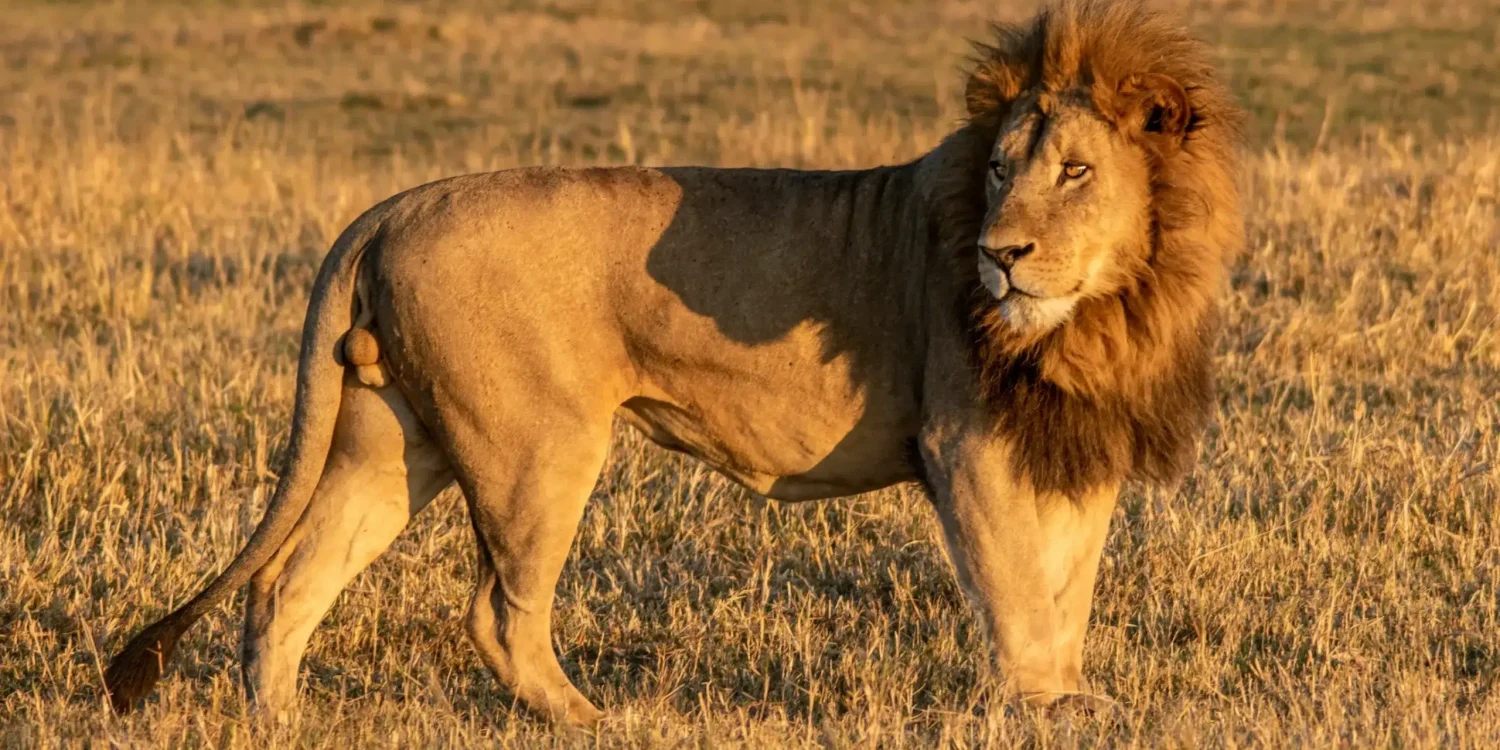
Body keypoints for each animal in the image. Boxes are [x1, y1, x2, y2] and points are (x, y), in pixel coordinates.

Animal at [105, 0, 1241, 725]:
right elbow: (1014, 588)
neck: (1113, 306)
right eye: (1001, 170)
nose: (999, 254)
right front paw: (1040, 707)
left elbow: (1067, 587)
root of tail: (393, 204)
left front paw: (1069, 695)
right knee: (497, 615)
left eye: (1076, 171)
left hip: (392, 437)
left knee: (286, 584)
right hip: (536, 448)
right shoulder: (966, 443)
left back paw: (281, 724)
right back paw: (594, 723)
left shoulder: (1078, 444)